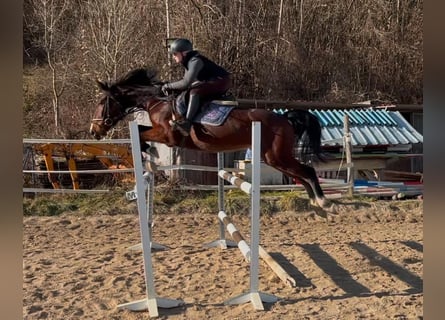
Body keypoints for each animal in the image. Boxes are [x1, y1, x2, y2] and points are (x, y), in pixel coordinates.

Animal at [90, 66, 332, 209]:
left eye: (102, 103)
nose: (94, 131)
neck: (157, 101)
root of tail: (285, 118)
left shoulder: (168, 135)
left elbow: (142, 133)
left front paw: (146, 149)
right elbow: (140, 129)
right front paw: (147, 151)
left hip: (277, 156)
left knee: (307, 171)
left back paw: (324, 202)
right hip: (273, 158)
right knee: (301, 174)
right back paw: (316, 203)